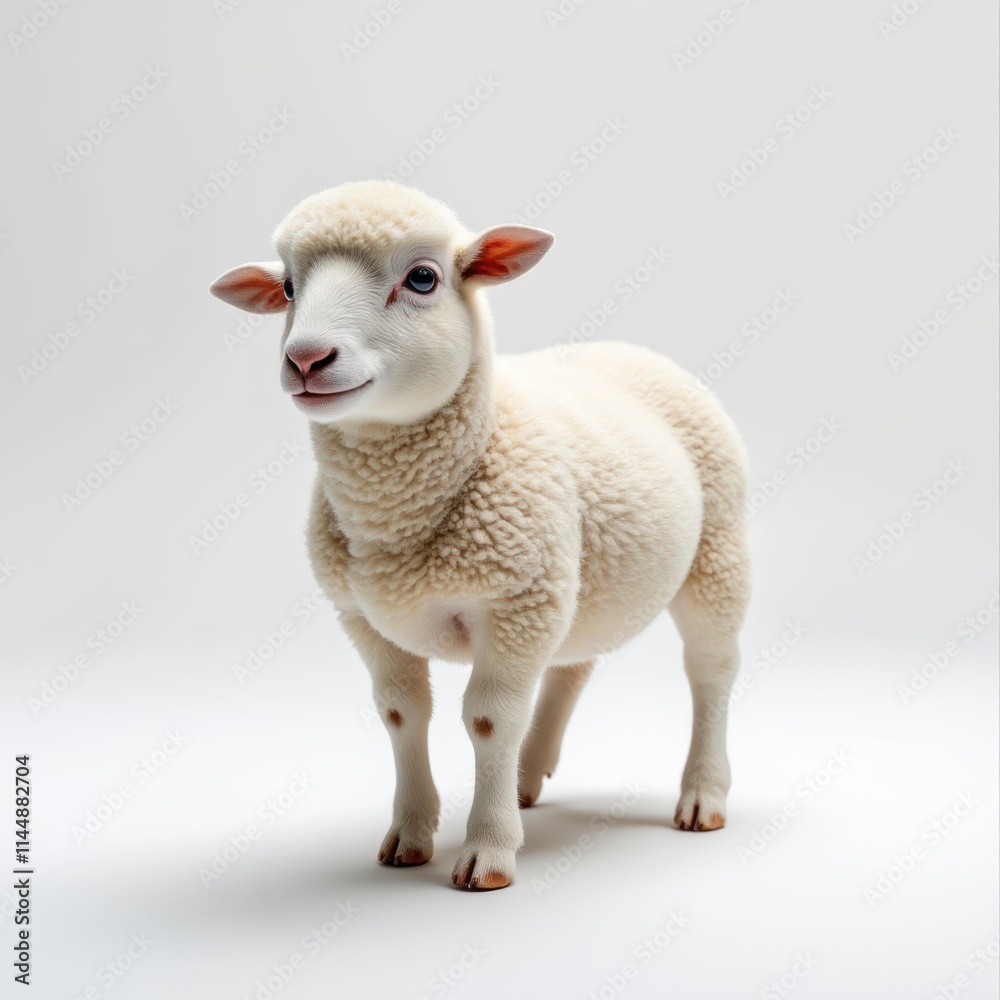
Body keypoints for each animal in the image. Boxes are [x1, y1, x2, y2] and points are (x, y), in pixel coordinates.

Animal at [209, 180, 751, 891]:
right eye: (290, 288)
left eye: (423, 278)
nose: (306, 358)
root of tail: (631, 351)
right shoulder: (362, 615)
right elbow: (401, 714)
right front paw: (410, 835)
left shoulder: (515, 603)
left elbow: (490, 720)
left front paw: (488, 852)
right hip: (579, 582)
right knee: (572, 667)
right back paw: (527, 778)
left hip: (717, 551)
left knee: (711, 671)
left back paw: (702, 795)